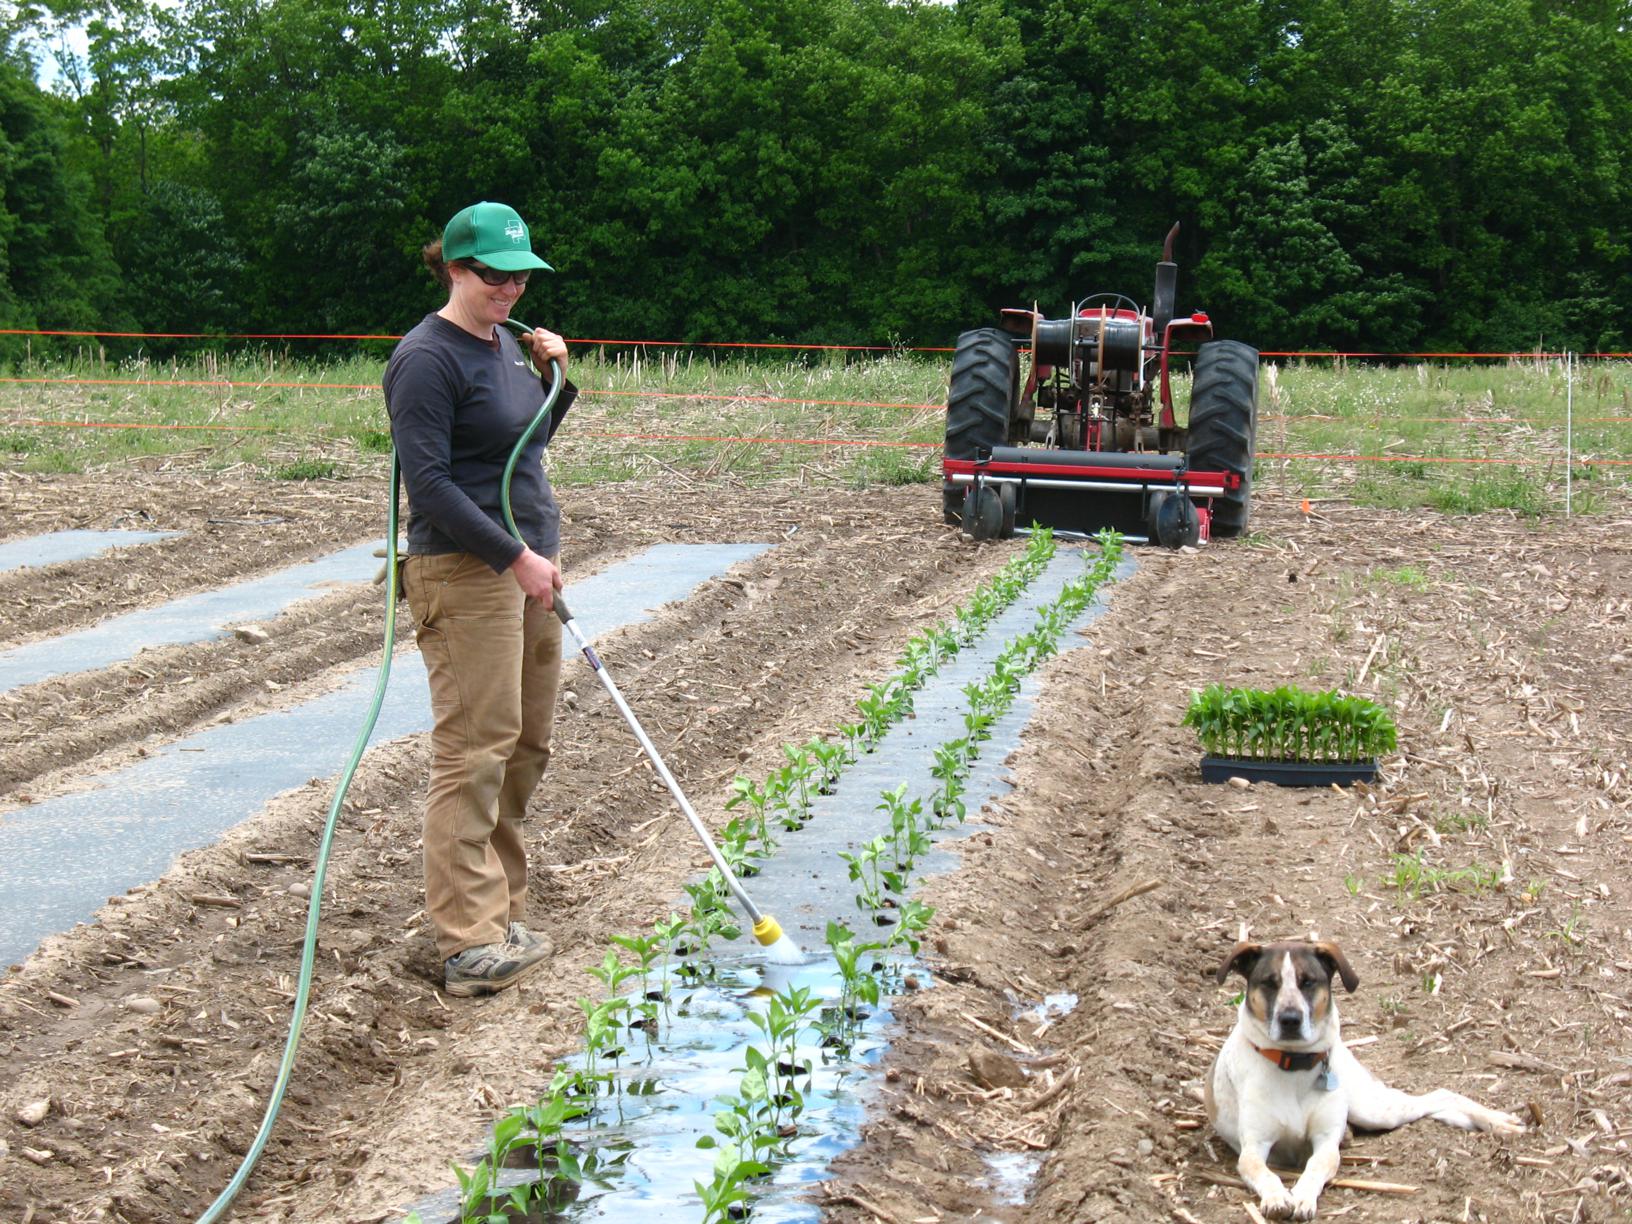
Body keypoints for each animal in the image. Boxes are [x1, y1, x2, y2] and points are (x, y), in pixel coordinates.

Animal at [1201, 940, 1527, 1220]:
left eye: (1308, 981)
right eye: (1269, 982)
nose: (1290, 1019)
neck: (1293, 1067)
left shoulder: (1325, 1141)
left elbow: (1317, 1164)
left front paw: (1304, 1196)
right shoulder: (1254, 1146)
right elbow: (1262, 1170)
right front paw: (1277, 1196)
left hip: (1372, 1108)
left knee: (1440, 1094)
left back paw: (1497, 1122)